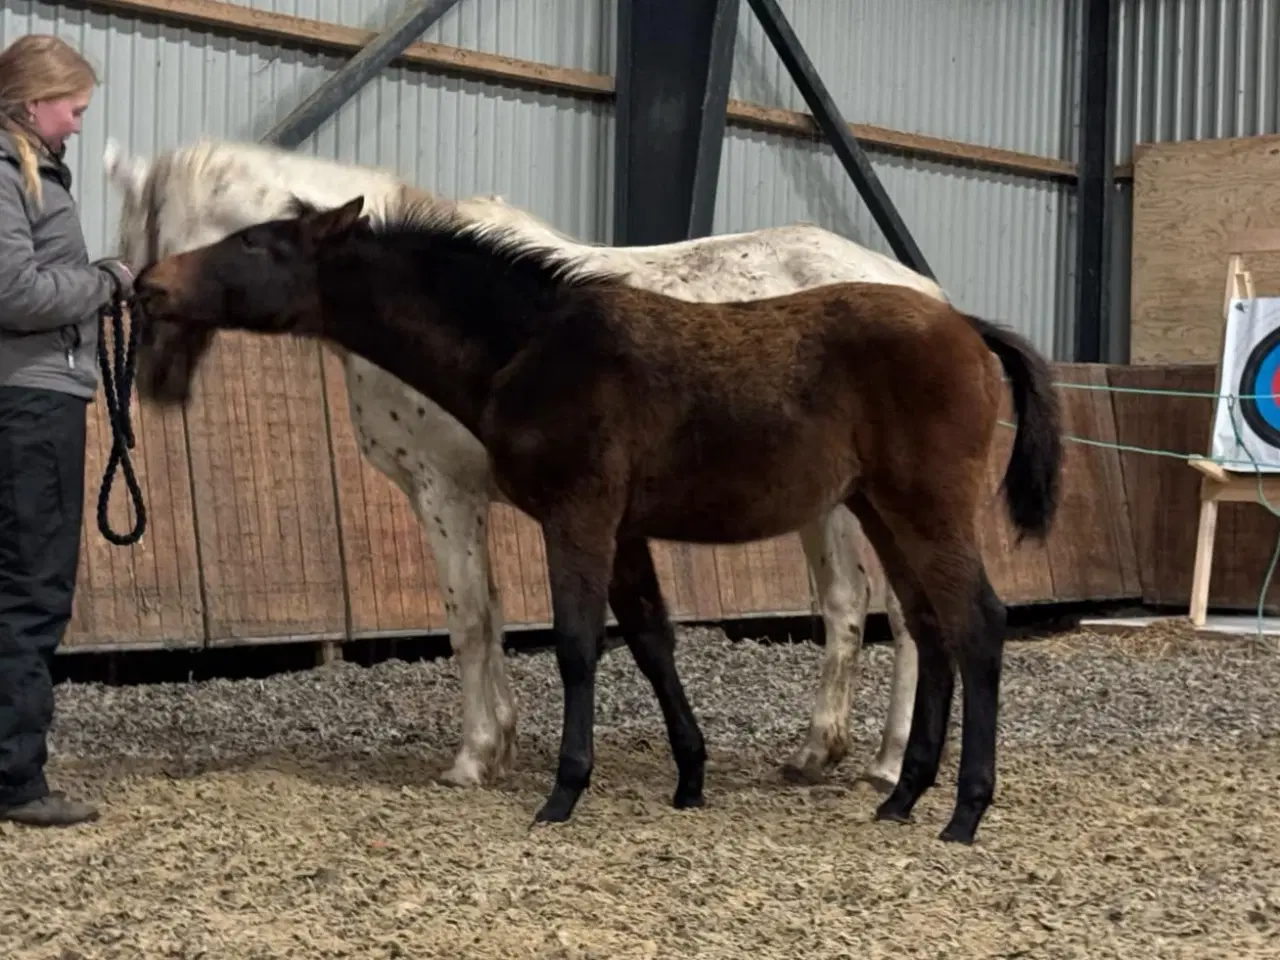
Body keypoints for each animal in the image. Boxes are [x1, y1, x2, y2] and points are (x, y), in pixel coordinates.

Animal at [127, 197, 1059, 849]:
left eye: (256, 244)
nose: (149, 284)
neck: (531, 345)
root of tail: (965, 324)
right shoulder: (625, 528)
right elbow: (650, 640)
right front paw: (689, 778)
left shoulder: (574, 514)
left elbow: (577, 644)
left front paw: (561, 791)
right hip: (881, 508)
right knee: (931, 630)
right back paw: (902, 794)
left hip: (925, 507)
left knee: (976, 624)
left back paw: (963, 811)